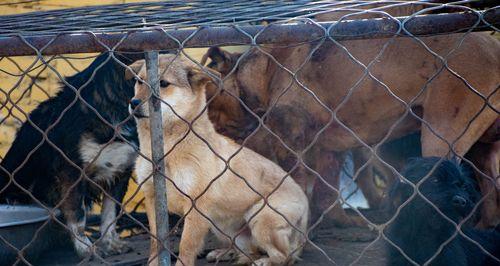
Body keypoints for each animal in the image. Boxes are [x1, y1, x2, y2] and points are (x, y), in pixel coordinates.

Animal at [0, 52, 140, 258]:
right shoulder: (72, 172)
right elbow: (78, 215)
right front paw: (86, 249)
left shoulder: (120, 172)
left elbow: (110, 215)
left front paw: (111, 244)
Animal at [129, 54, 308, 266]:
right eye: (139, 81)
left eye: (163, 84)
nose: (133, 102)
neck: (166, 149)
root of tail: (306, 209)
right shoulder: (153, 199)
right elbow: (156, 243)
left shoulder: (196, 205)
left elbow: (186, 246)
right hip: (222, 226)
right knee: (250, 252)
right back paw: (226, 253)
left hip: (260, 217)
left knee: (285, 256)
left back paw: (264, 261)